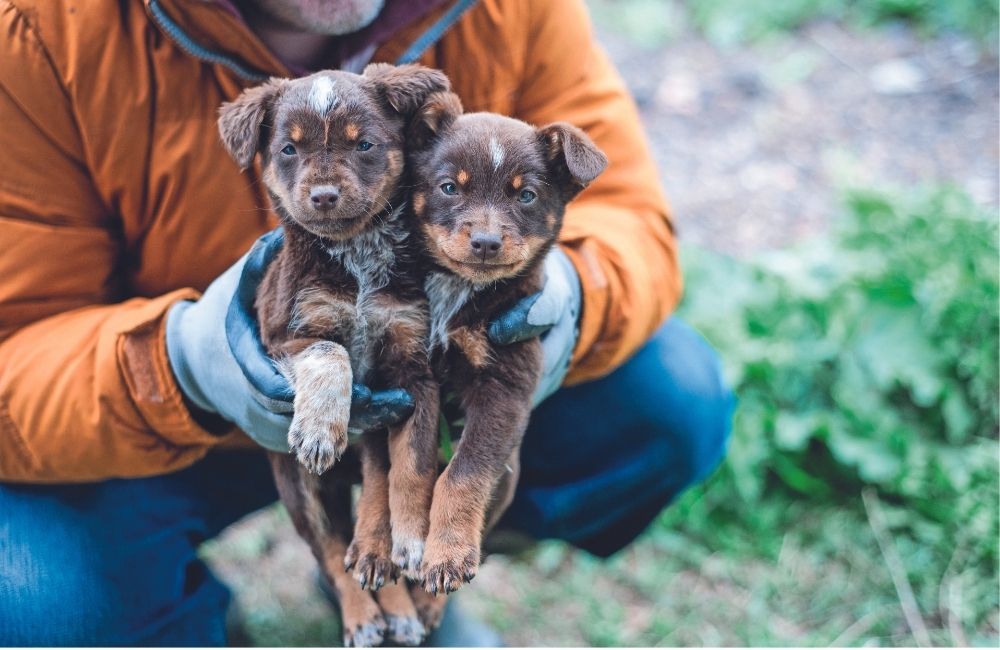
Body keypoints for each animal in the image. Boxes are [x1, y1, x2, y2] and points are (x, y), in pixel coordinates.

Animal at [223, 64, 450, 644]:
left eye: (363, 144)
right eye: (288, 149)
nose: (323, 195)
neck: (358, 256)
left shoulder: (413, 371)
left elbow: (410, 466)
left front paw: (412, 540)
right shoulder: (283, 335)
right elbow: (331, 351)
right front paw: (321, 430)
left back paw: (398, 607)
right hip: (298, 487)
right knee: (329, 552)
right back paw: (364, 618)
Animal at [404, 91, 608, 592]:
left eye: (526, 195)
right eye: (450, 187)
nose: (485, 242)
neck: (457, 292)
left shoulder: (506, 387)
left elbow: (463, 474)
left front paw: (448, 555)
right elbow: (413, 464)